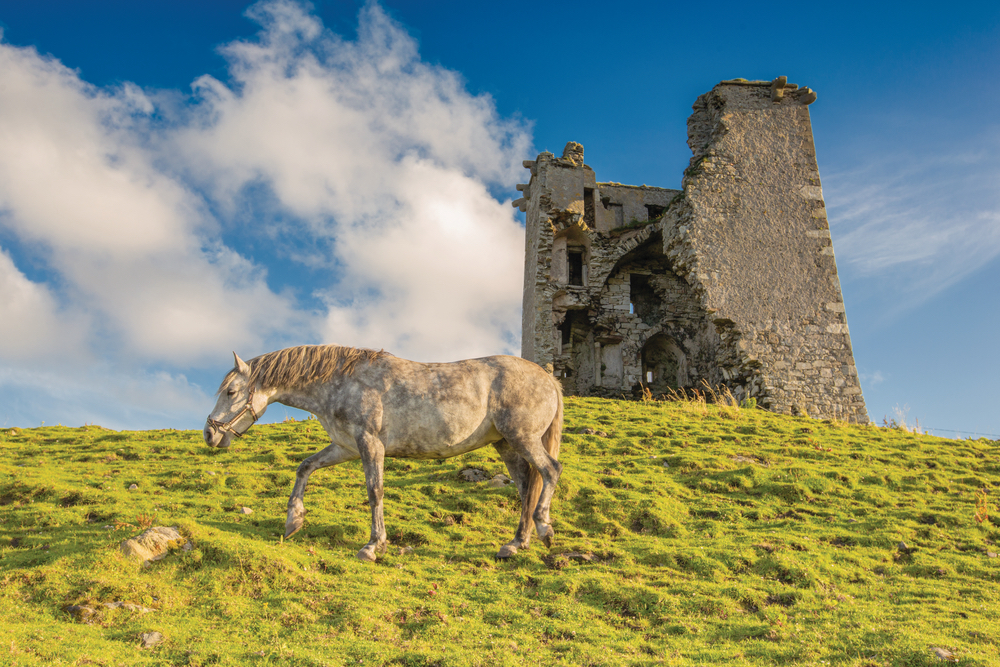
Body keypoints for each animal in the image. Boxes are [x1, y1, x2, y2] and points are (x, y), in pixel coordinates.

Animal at [203, 348, 564, 560]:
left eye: (231, 391)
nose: (209, 433)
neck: (341, 382)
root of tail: (547, 376)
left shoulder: (370, 445)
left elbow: (374, 492)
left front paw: (373, 545)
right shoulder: (345, 447)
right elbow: (305, 467)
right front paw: (294, 520)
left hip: (522, 438)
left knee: (550, 471)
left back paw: (544, 530)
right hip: (506, 444)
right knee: (526, 488)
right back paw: (516, 543)